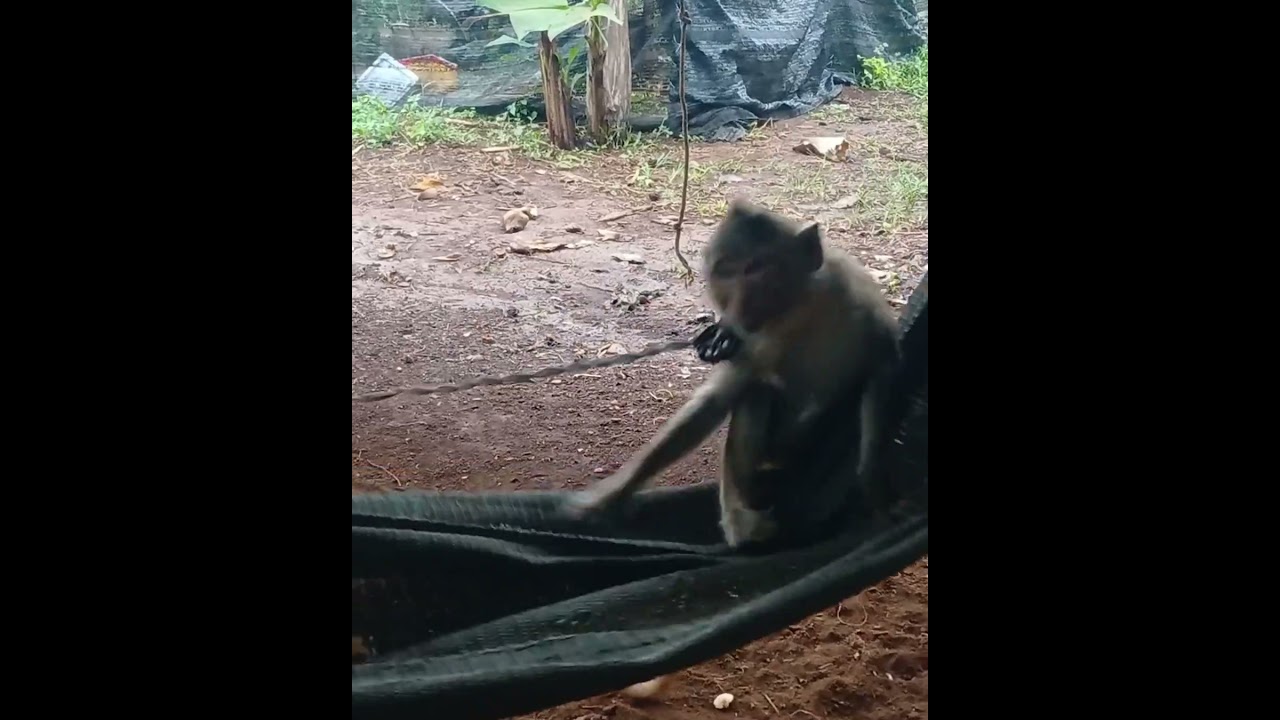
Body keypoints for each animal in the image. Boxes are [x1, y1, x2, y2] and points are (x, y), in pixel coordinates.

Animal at [564, 199, 902, 548]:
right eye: (726, 272)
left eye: (756, 268)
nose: (741, 303)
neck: (798, 312)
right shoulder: (748, 338)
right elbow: (717, 400)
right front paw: (608, 498)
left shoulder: (854, 293)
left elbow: (881, 364)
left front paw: (873, 484)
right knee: (756, 394)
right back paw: (748, 515)